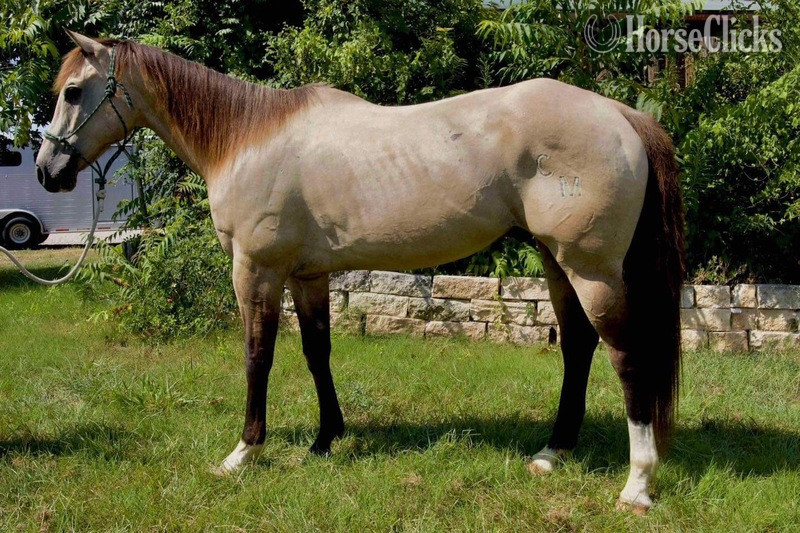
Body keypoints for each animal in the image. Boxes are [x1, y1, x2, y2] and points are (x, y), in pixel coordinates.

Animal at [36, 31, 685, 513]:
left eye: (72, 91)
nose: (47, 170)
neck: (246, 139)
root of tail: (618, 113)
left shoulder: (257, 271)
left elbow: (257, 356)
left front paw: (244, 453)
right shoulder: (307, 275)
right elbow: (317, 352)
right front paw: (326, 440)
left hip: (591, 268)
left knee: (626, 356)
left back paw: (637, 484)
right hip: (556, 260)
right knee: (577, 346)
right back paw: (553, 452)